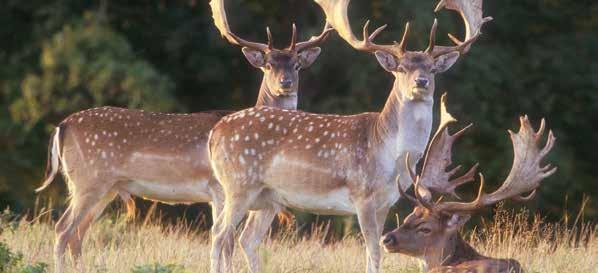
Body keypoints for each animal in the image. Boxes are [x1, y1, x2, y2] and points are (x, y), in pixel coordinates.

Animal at [37, 0, 336, 270]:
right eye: (268, 65)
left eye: (297, 65)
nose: (286, 84)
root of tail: (62, 126)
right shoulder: (219, 189)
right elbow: (226, 241)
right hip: (88, 180)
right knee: (63, 228)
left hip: (104, 188)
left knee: (78, 233)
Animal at [210, 1, 492, 270]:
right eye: (401, 68)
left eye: (432, 69)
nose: (420, 82)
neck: (391, 157)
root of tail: (215, 132)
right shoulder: (362, 194)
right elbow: (375, 252)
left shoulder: (385, 202)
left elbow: (371, 253)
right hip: (238, 184)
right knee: (220, 234)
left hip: (266, 198)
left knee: (244, 238)